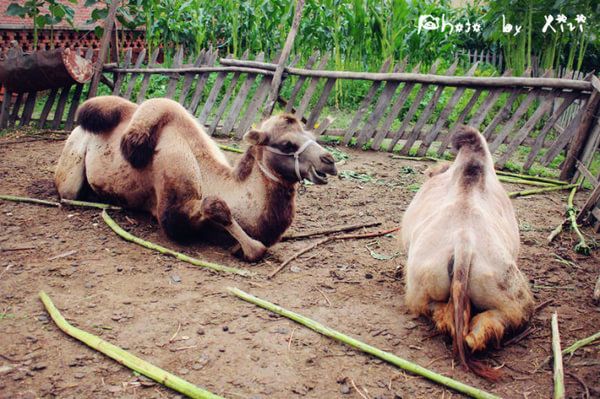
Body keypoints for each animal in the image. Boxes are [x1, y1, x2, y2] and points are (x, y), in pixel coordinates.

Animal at [55, 95, 338, 260]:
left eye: (311, 136)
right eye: (287, 144)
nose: (330, 161)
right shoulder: (170, 212)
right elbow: (216, 208)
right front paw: (245, 247)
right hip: (70, 167)